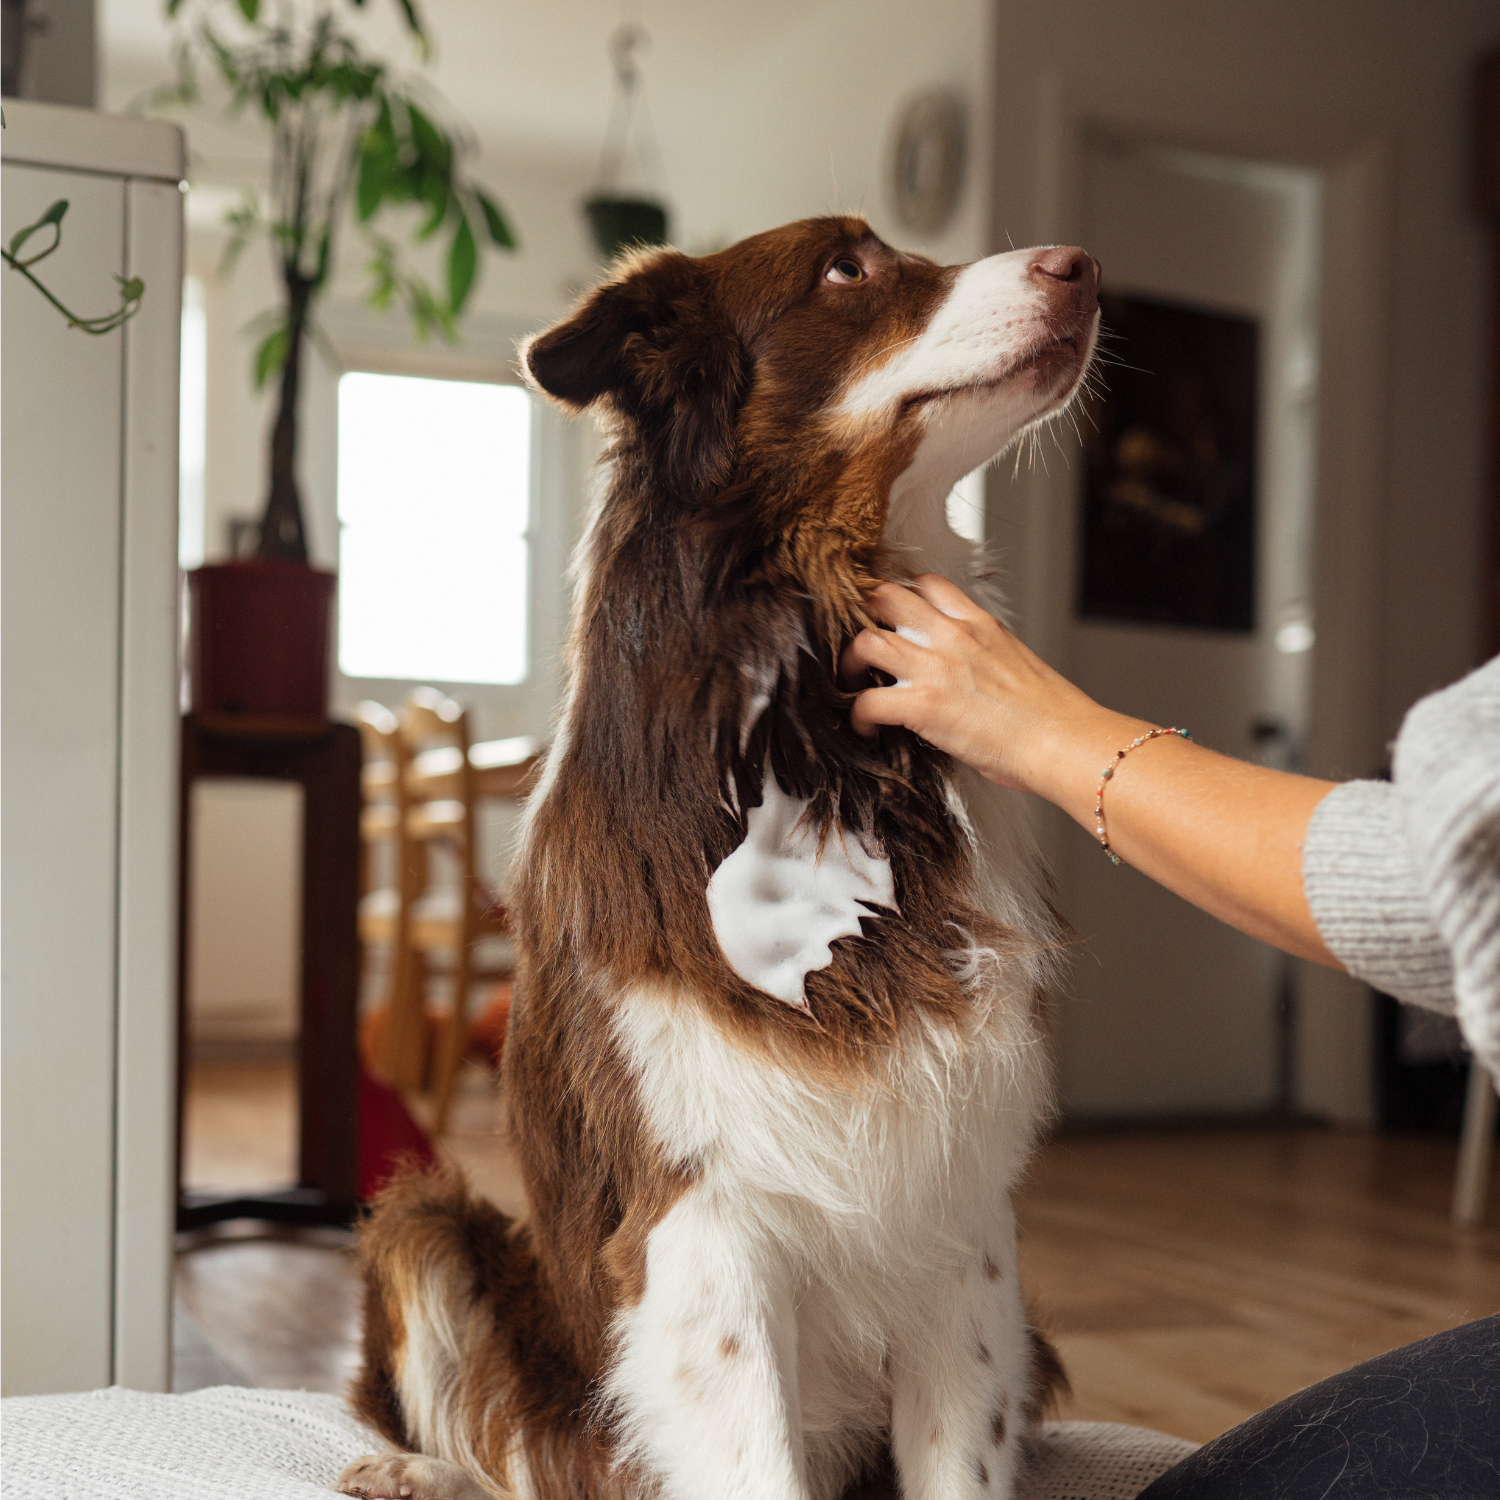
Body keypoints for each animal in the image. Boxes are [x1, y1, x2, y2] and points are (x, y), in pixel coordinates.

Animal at [334, 217, 1098, 1500]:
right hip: (430, 1231)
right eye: (847, 268)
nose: (1085, 267)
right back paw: (410, 1474)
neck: (835, 748)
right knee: (519, 1450)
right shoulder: (699, 1224)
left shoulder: (964, 1234)